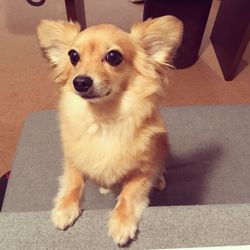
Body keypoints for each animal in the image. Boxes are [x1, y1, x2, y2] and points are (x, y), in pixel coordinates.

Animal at [36, 16, 182, 246]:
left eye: (113, 57)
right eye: (73, 56)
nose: (80, 81)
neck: (103, 118)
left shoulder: (143, 171)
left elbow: (129, 194)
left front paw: (121, 222)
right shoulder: (73, 159)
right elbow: (73, 182)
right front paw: (64, 208)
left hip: (162, 145)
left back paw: (159, 180)